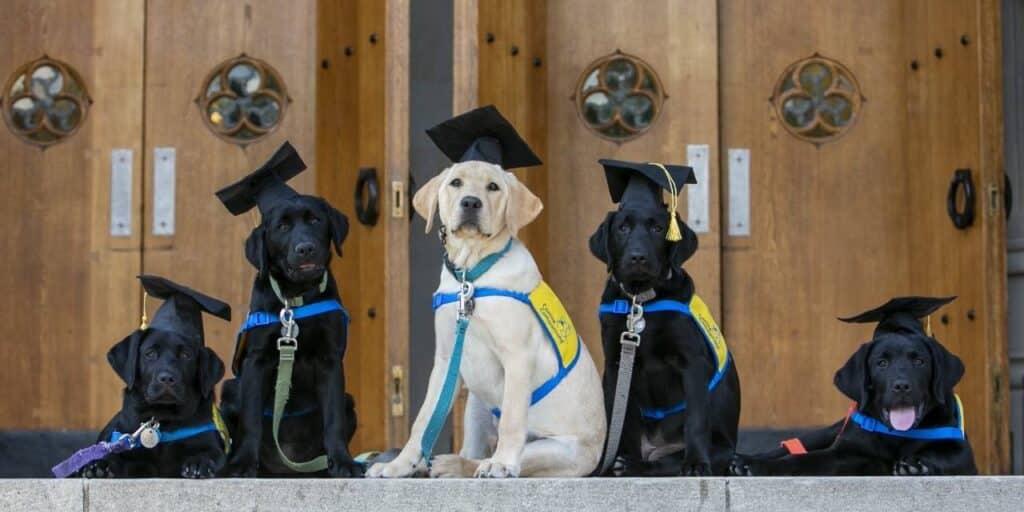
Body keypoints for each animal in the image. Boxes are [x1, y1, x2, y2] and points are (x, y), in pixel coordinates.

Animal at [80, 276, 232, 479]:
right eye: (150, 354)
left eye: (186, 355)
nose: (167, 378)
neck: (162, 422)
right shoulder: (126, 445)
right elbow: (115, 457)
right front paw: (100, 465)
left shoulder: (211, 446)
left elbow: (210, 453)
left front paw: (199, 463)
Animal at [216, 142, 360, 477]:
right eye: (282, 227)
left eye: (315, 220)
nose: (305, 248)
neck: (295, 299)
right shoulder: (257, 361)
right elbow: (252, 420)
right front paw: (242, 464)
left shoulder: (330, 361)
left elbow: (332, 419)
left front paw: (343, 462)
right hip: (230, 389)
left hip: (350, 400)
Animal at [370, 105, 602, 477]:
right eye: (455, 183)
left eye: (493, 187)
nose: (470, 203)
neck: (472, 274)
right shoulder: (445, 359)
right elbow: (423, 420)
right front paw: (399, 465)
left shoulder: (518, 356)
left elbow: (511, 420)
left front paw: (503, 463)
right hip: (477, 403)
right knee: (472, 446)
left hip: (554, 449)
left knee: (494, 453)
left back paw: (465, 464)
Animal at [589, 160, 741, 475]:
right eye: (622, 228)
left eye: (658, 229)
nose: (637, 257)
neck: (641, 301)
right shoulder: (616, 363)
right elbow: (620, 420)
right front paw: (616, 460)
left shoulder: (692, 362)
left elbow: (696, 419)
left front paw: (696, 463)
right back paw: (622, 463)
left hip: (717, 445)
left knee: (667, 462)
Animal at [733, 296, 978, 475]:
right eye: (881, 363)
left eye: (919, 361)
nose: (901, 386)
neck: (897, 435)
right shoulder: (843, 452)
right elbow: (799, 459)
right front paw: (756, 465)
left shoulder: (962, 453)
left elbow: (943, 455)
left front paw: (916, 465)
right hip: (826, 432)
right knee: (789, 446)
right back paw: (744, 460)